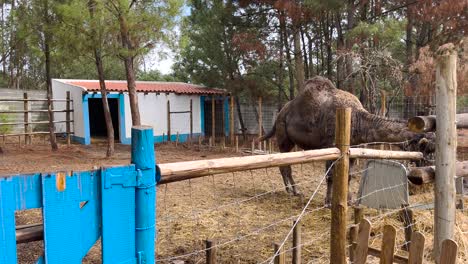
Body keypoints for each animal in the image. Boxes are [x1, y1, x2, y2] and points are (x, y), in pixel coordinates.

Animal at [258, 76, 434, 204]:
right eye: (425, 148)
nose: (428, 168)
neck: (356, 120)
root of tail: (280, 113)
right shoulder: (331, 147)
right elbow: (330, 176)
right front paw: (328, 202)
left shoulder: (353, 151)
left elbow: (348, 176)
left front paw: (348, 201)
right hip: (283, 138)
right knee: (285, 165)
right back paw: (293, 191)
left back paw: (292, 190)